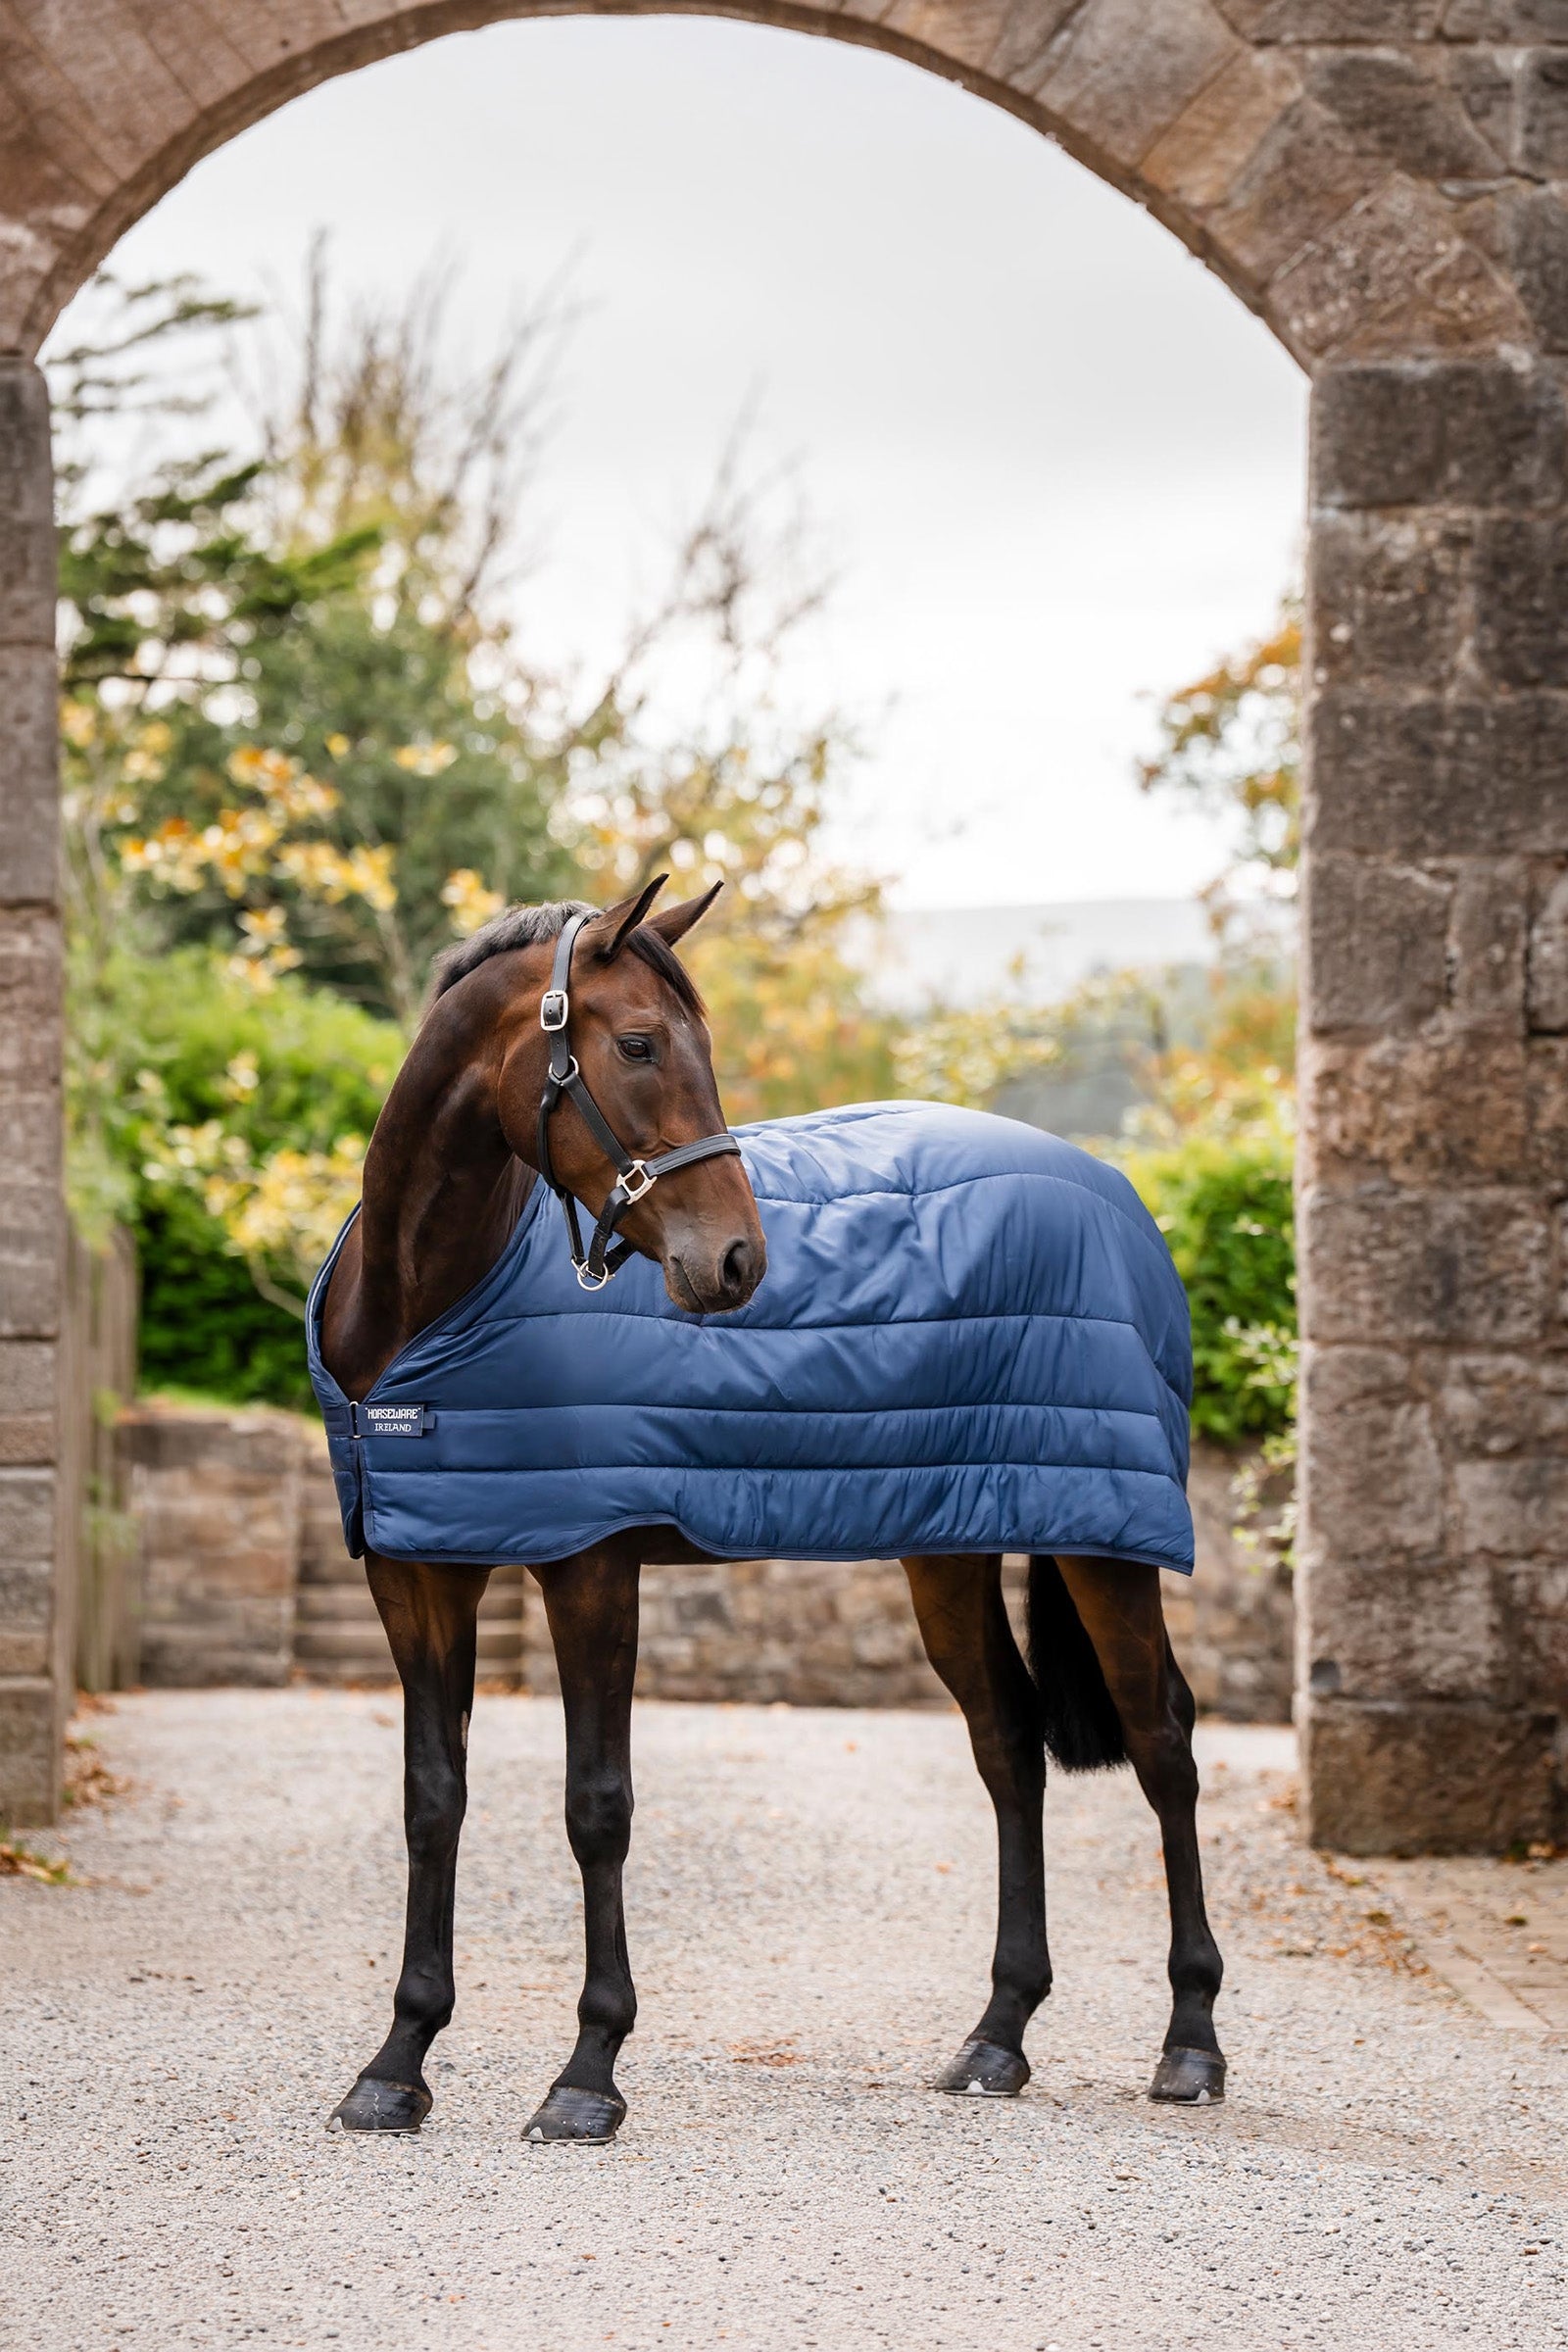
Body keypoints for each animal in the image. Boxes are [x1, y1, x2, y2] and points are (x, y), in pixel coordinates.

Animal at [315, 877, 1225, 2143]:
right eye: (638, 1045)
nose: (738, 1262)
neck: (425, 1303)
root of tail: (1114, 1192)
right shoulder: (416, 1569)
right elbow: (431, 1800)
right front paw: (397, 2061)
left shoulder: (588, 1563)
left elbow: (596, 1808)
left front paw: (586, 2074)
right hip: (950, 1545)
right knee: (1007, 1748)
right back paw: (996, 2037)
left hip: (1103, 1543)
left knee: (1161, 1744)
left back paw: (1190, 2043)